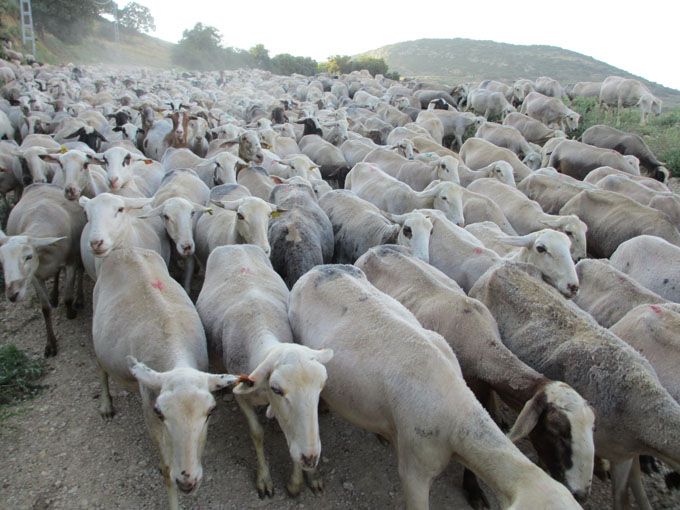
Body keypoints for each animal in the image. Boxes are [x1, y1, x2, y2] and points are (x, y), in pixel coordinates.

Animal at [92, 246, 244, 510]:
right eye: (159, 413)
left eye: (211, 411)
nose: (187, 481)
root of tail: (127, 249)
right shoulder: (148, 405)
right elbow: (165, 470)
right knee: (101, 367)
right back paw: (105, 405)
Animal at [196, 244, 333, 497]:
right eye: (277, 389)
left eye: (320, 387)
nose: (310, 457)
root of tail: (237, 245)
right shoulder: (243, 398)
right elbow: (257, 433)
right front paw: (265, 479)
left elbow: (285, 431)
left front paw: (304, 478)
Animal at [356, 244, 596, 504]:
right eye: (557, 430)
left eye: (592, 428)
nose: (581, 494)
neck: (481, 345)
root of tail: (378, 247)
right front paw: (473, 490)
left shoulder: (480, 388)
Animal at [469, 261, 680, 510]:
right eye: (557, 431)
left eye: (592, 429)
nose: (580, 494)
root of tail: (504, 264)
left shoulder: (624, 456)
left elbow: (622, 496)